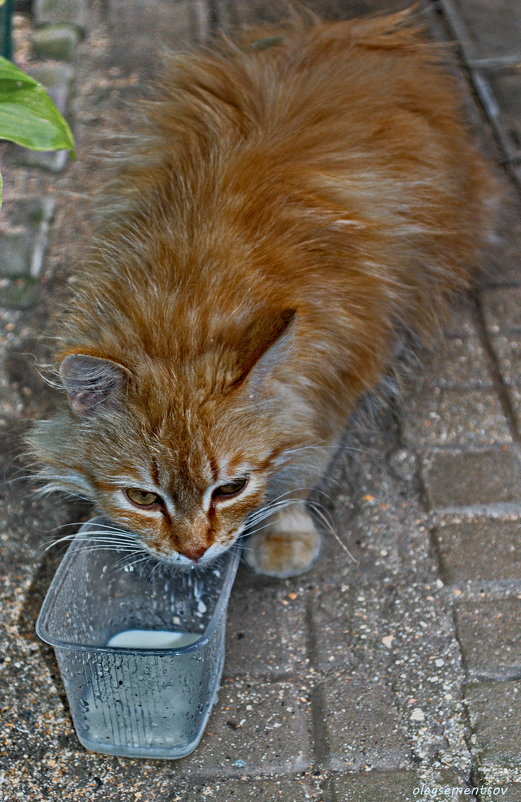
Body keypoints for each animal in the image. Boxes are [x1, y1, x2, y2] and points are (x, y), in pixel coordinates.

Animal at [30, 10, 498, 576]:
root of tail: (360, 28)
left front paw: (284, 530)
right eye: (143, 498)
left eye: (231, 488)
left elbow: (302, 467)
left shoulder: (338, 376)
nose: (194, 551)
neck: (186, 307)